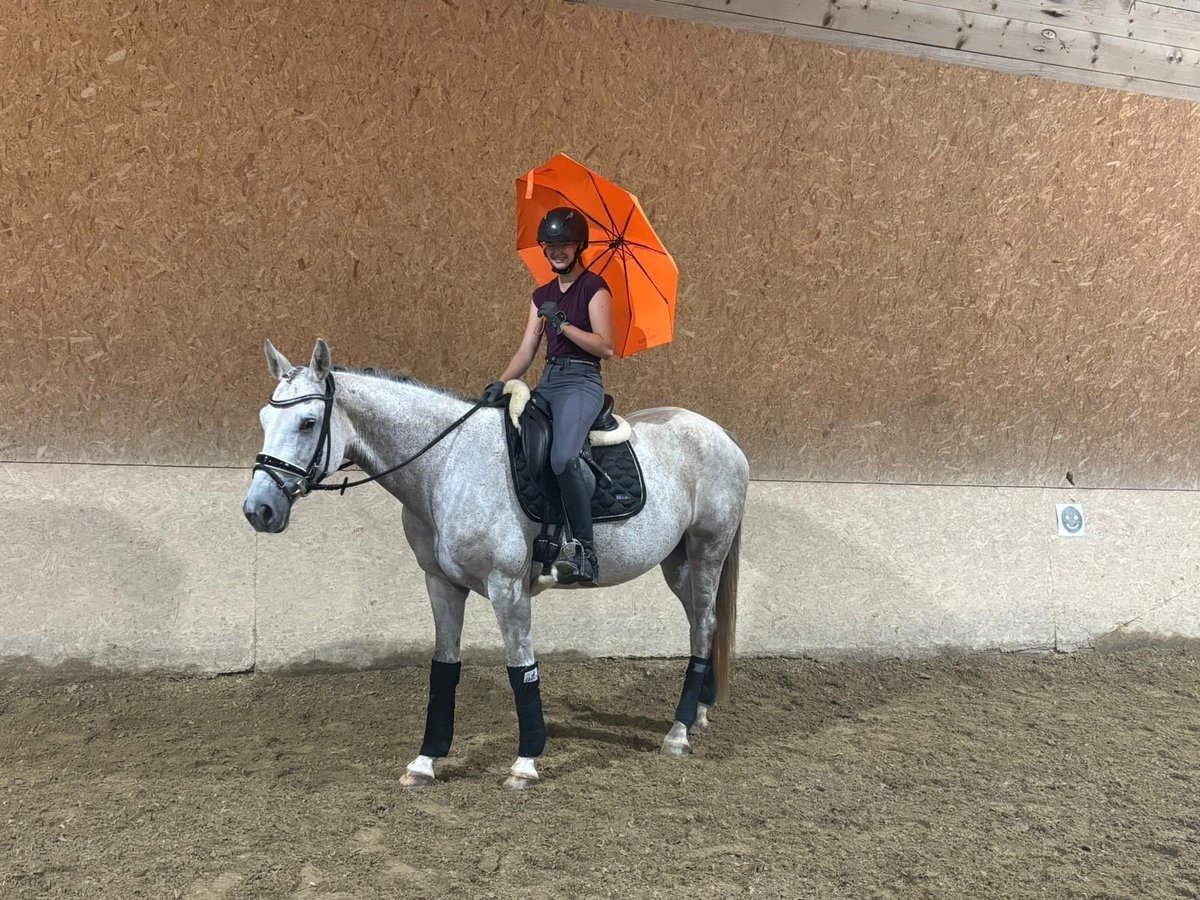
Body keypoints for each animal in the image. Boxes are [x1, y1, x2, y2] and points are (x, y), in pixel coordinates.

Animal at [241, 340, 748, 792]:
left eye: (308, 423)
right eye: (264, 418)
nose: (258, 510)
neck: (446, 465)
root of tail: (721, 434)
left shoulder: (508, 588)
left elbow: (521, 668)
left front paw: (525, 763)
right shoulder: (441, 584)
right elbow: (444, 668)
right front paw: (425, 762)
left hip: (707, 550)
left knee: (704, 625)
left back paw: (678, 732)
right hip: (678, 563)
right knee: (701, 625)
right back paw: (697, 714)